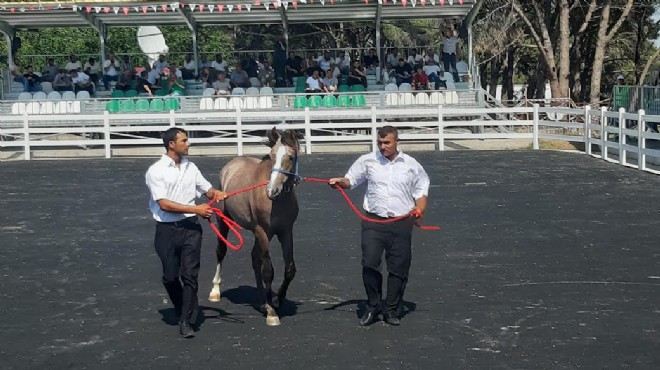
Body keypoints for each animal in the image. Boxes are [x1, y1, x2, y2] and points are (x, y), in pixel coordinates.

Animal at [208, 128, 302, 326]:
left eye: (290, 157)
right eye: (272, 155)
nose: (271, 191)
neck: (277, 201)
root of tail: (230, 166)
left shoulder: (285, 232)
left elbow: (289, 269)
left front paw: (276, 300)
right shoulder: (262, 231)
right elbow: (268, 271)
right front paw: (272, 312)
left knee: (254, 258)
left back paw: (261, 301)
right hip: (224, 221)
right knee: (221, 251)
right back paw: (215, 291)